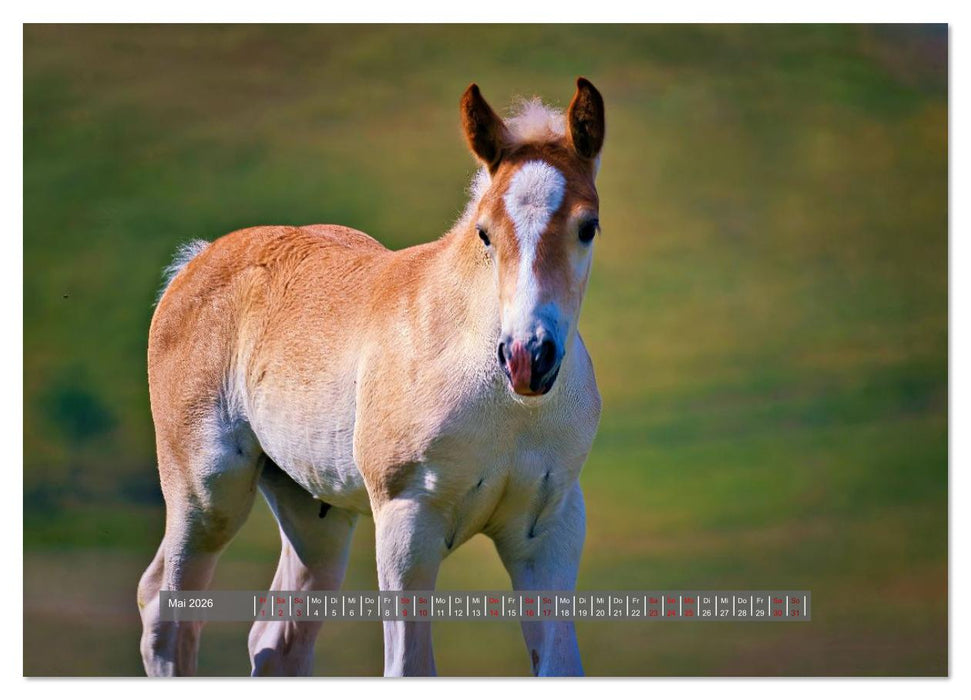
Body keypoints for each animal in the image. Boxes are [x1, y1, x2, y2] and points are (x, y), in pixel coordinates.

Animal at [137, 77, 605, 677]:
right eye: (485, 233)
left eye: (587, 227)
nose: (528, 357)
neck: (505, 406)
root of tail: (194, 262)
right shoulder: (407, 523)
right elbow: (408, 667)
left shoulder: (548, 531)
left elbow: (559, 665)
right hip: (206, 494)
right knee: (165, 609)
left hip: (315, 512)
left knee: (275, 639)